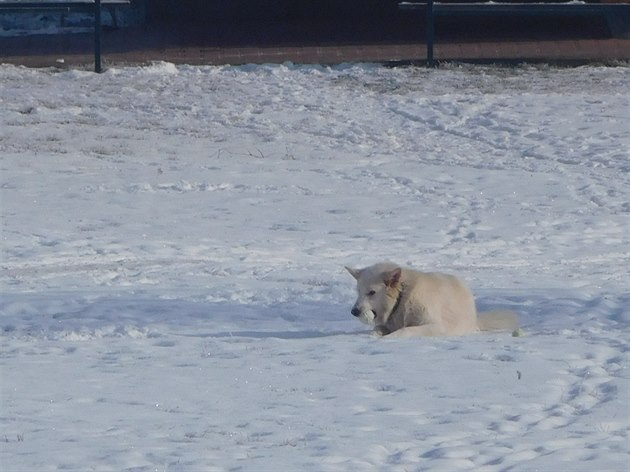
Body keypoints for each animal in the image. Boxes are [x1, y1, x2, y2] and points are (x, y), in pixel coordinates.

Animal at [348, 264, 520, 338]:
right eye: (358, 291)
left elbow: (406, 330)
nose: (353, 311)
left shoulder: (436, 326)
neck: (402, 298)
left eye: (372, 292)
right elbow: (376, 330)